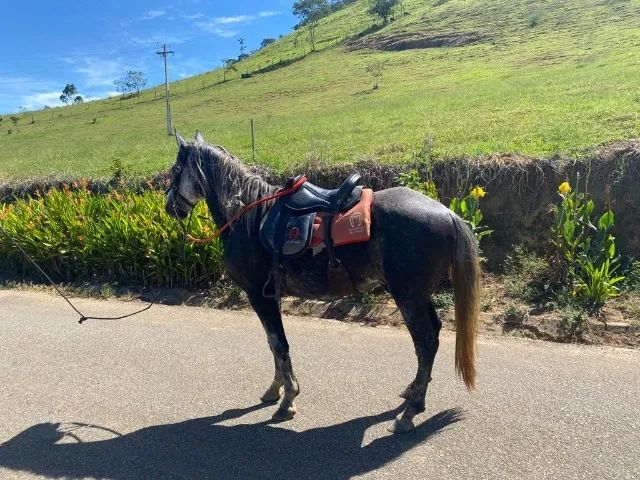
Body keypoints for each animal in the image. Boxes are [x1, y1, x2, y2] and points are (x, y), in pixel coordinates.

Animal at [165, 131, 480, 434]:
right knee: (433, 335)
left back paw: (410, 411)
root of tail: (448, 213)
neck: (249, 218)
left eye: (176, 169)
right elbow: (273, 344)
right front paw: (275, 390)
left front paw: (288, 401)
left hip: (408, 297)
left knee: (425, 343)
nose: (169, 207)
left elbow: (279, 344)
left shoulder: (258, 295)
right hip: (418, 295)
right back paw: (412, 391)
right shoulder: (269, 297)